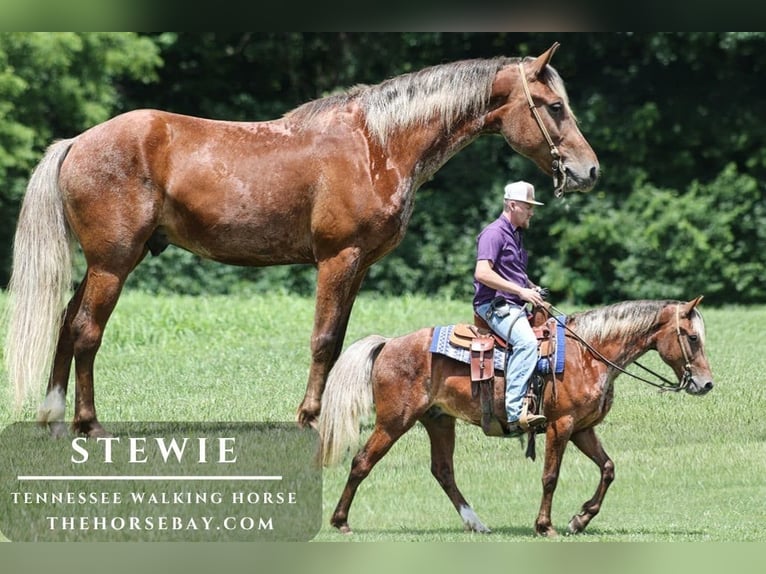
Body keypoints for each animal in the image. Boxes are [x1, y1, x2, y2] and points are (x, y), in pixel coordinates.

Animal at [5, 42, 599, 437]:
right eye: (554, 106)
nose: (588, 170)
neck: (376, 144)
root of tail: (78, 142)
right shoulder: (338, 259)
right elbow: (324, 341)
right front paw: (310, 420)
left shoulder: (360, 265)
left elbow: (340, 342)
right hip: (113, 263)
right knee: (86, 331)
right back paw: (86, 424)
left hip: (101, 265)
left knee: (66, 323)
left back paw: (52, 417)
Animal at [317, 297, 714, 536]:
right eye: (692, 337)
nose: (706, 383)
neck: (589, 355)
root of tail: (388, 343)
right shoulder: (561, 426)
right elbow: (551, 477)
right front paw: (545, 526)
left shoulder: (583, 429)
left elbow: (608, 468)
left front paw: (580, 518)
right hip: (393, 422)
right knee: (361, 462)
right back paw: (340, 521)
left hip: (439, 420)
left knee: (443, 471)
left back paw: (476, 523)